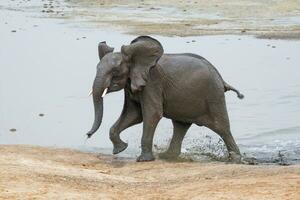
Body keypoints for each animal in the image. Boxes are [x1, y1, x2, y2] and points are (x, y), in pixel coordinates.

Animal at [86, 35, 244, 162]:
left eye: (115, 71)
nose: (87, 135)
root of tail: (222, 80)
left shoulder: (152, 82)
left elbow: (152, 114)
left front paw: (143, 160)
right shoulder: (131, 85)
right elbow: (134, 115)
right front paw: (121, 149)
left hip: (214, 95)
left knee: (221, 127)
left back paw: (236, 159)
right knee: (180, 126)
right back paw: (168, 156)